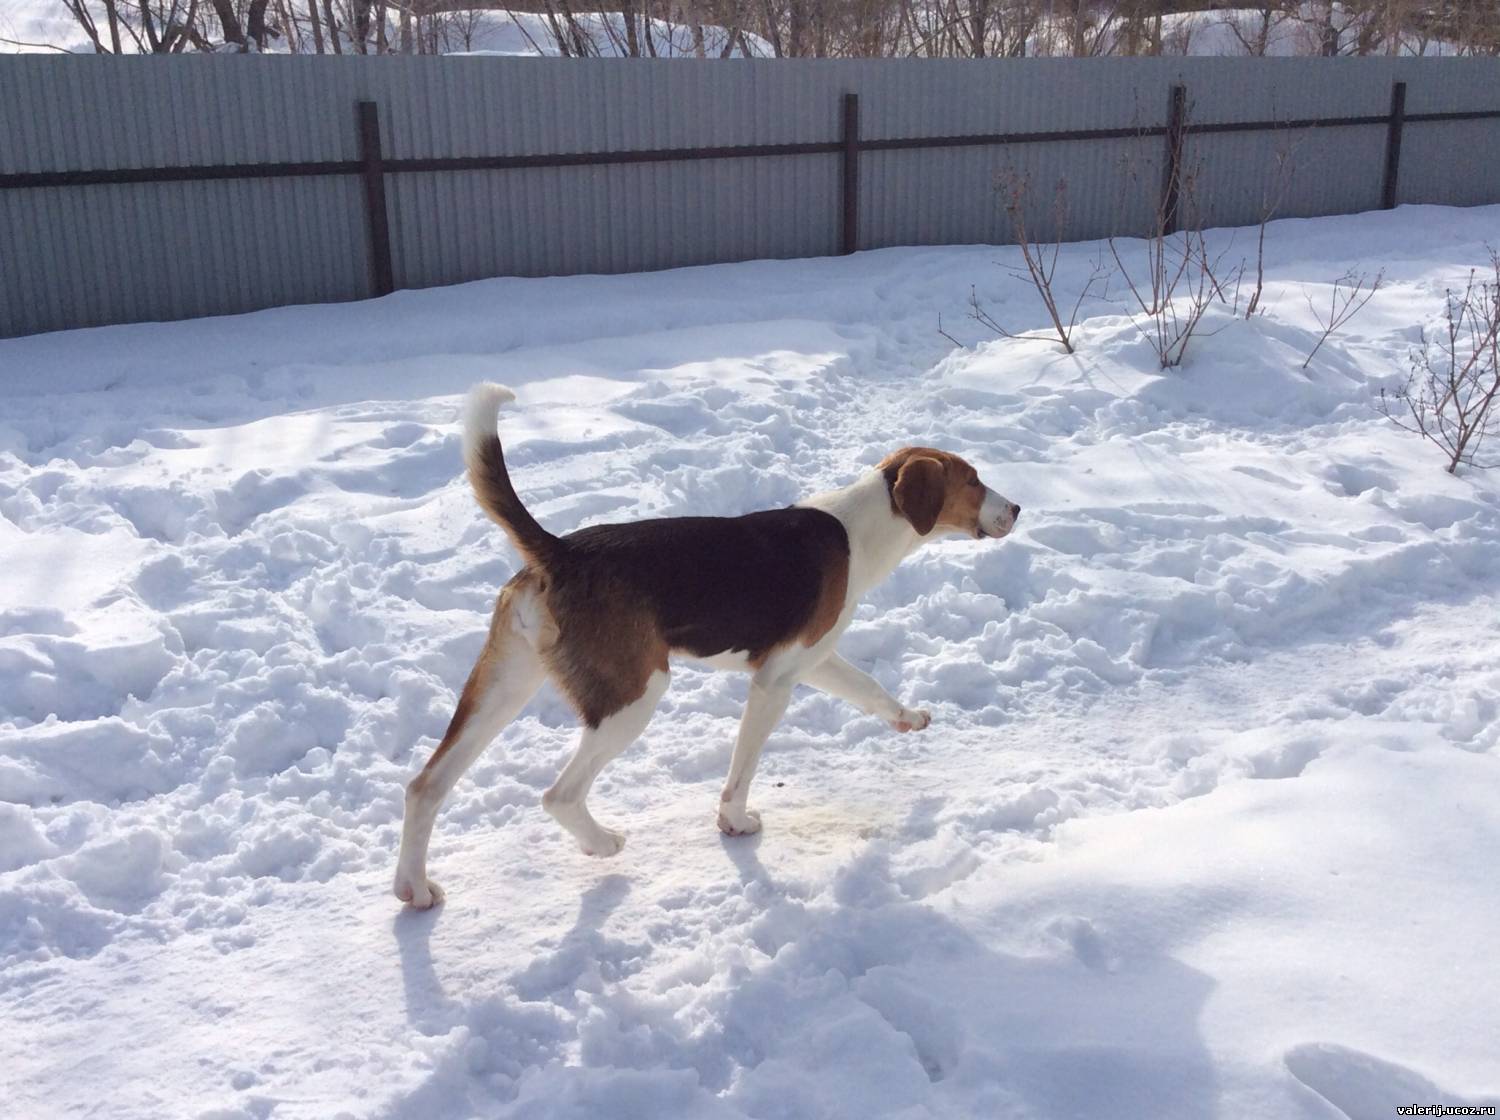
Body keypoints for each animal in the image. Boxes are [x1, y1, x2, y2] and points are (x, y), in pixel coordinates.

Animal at [393, 380, 1020, 905]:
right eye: (972, 480)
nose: (1016, 508)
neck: (860, 529)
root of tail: (559, 552)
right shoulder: (773, 683)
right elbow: (742, 771)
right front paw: (734, 824)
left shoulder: (810, 660)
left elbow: (869, 686)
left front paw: (907, 719)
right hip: (634, 696)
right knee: (558, 795)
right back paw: (601, 843)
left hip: (503, 688)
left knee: (425, 786)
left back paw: (414, 890)